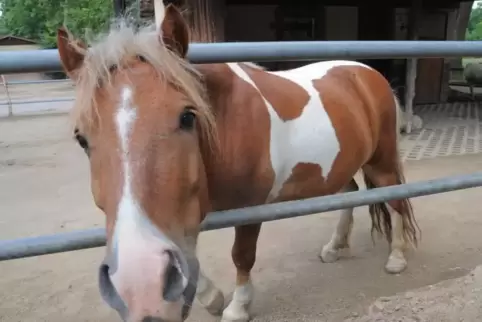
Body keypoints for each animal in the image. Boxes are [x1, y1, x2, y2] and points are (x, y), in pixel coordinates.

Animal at [55, 3, 418, 322]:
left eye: (187, 117)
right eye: (81, 138)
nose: (139, 286)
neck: (225, 121)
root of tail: (369, 74)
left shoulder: (250, 206)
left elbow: (241, 255)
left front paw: (237, 307)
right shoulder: (187, 210)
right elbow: (189, 258)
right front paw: (212, 299)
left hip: (382, 163)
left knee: (396, 201)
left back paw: (397, 258)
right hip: (341, 165)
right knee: (351, 195)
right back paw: (334, 247)